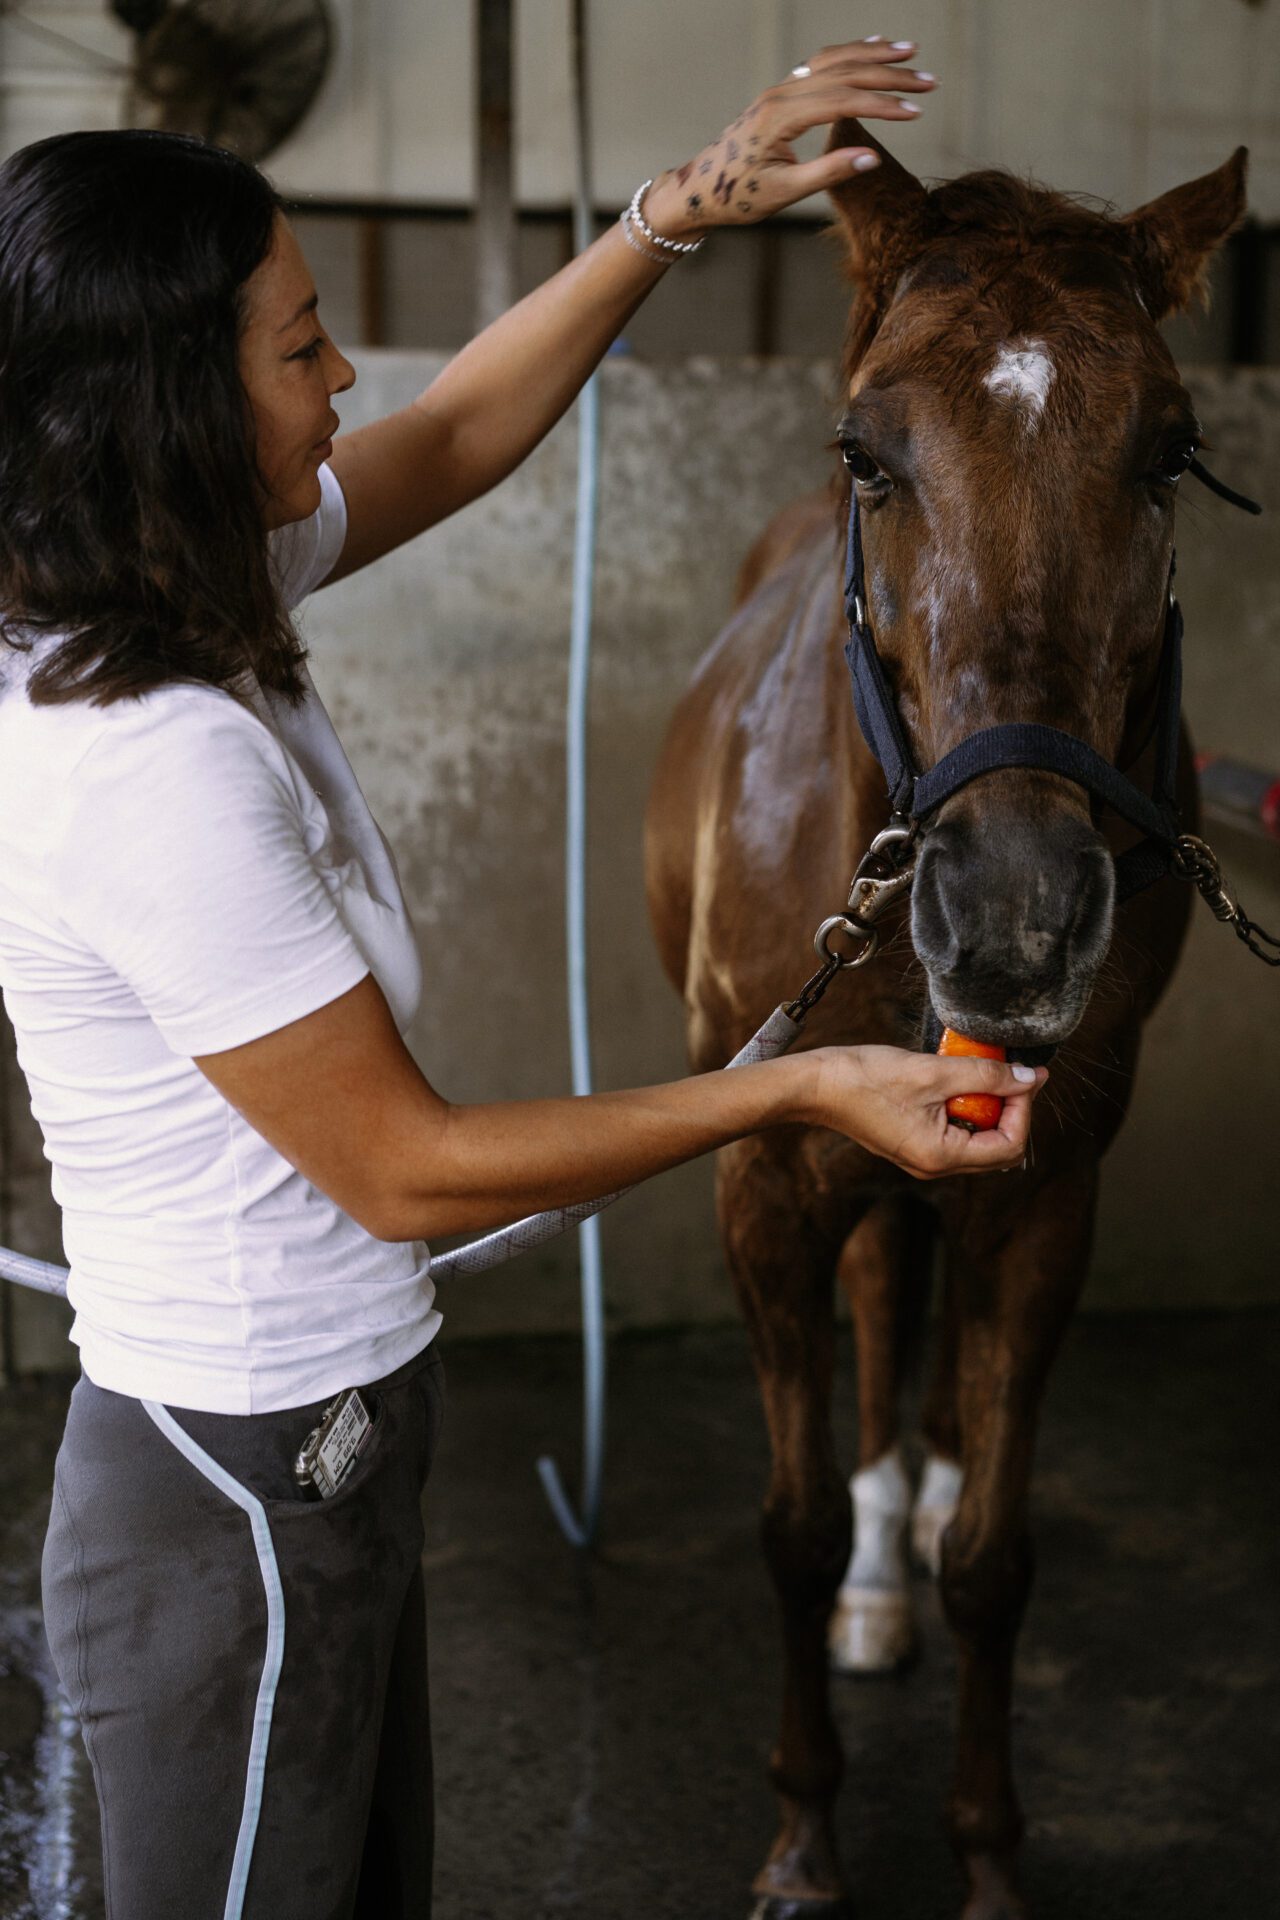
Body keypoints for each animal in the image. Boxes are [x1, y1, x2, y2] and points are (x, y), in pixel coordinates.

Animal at [644, 120, 1247, 1920]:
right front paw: (802, 1847)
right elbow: (784, 1529)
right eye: (869, 451)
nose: (1015, 917)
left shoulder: (1047, 1193)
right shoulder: (768, 1175)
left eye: (1172, 455)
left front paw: (985, 1860)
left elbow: (996, 1556)